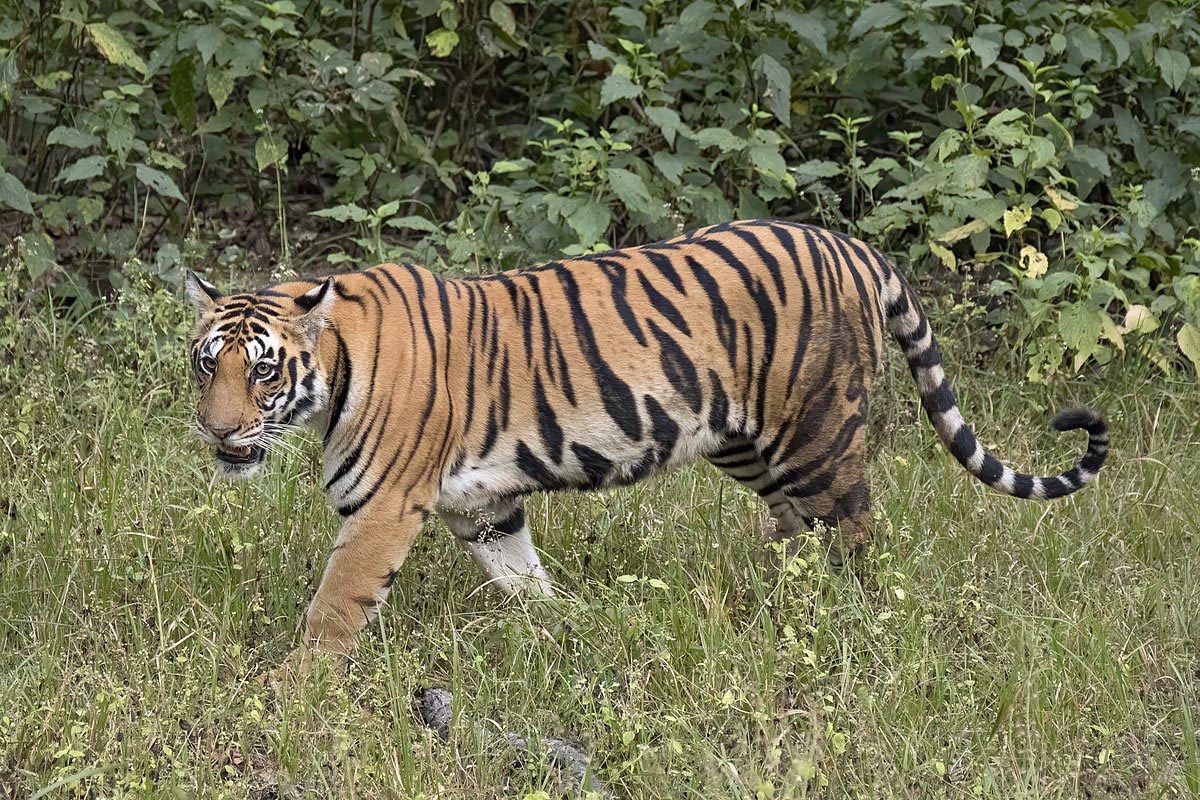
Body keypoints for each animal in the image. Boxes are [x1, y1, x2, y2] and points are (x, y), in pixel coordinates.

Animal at [185, 219, 1108, 656]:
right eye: (206, 365)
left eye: (262, 372)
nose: (217, 430)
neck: (333, 371)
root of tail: (853, 246)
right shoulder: (482, 505)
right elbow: (522, 576)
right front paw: (564, 629)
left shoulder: (382, 510)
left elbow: (335, 607)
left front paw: (298, 690)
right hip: (748, 444)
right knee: (797, 531)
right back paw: (776, 603)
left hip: (817, 436)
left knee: (857, 533)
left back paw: (852, 622)